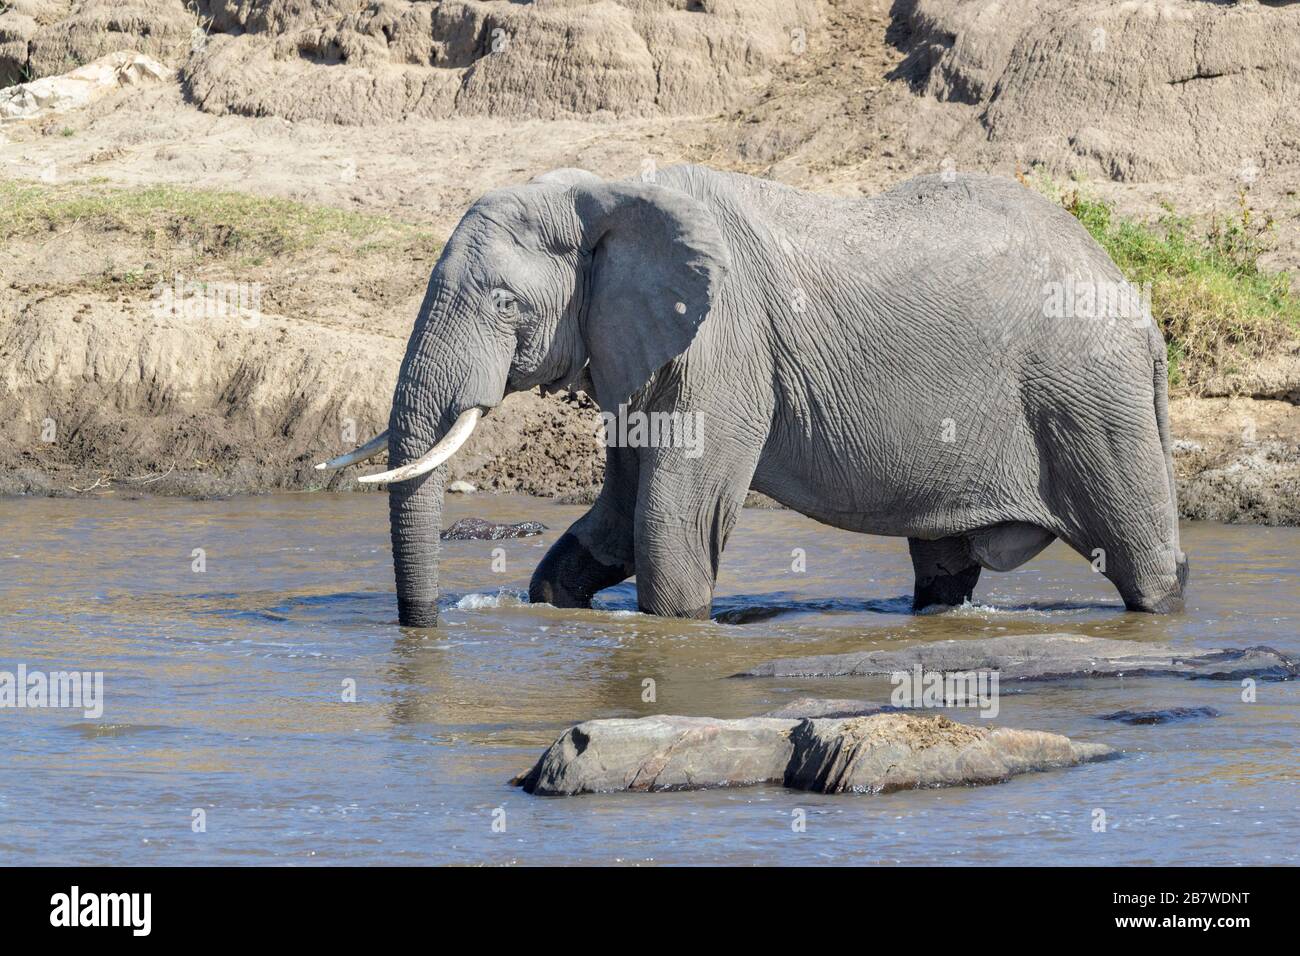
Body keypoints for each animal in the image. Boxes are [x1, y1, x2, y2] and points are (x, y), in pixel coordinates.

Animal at [314, 164, 1190, 629]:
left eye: (504, 303)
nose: (421, 632)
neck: (609, 191)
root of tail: (1139, 309)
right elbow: (614, 524)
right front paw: (553, 603)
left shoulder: (726, 347)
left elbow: (670, 530)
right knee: (943, 571)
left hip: (1089, 400)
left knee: (1145, 561)